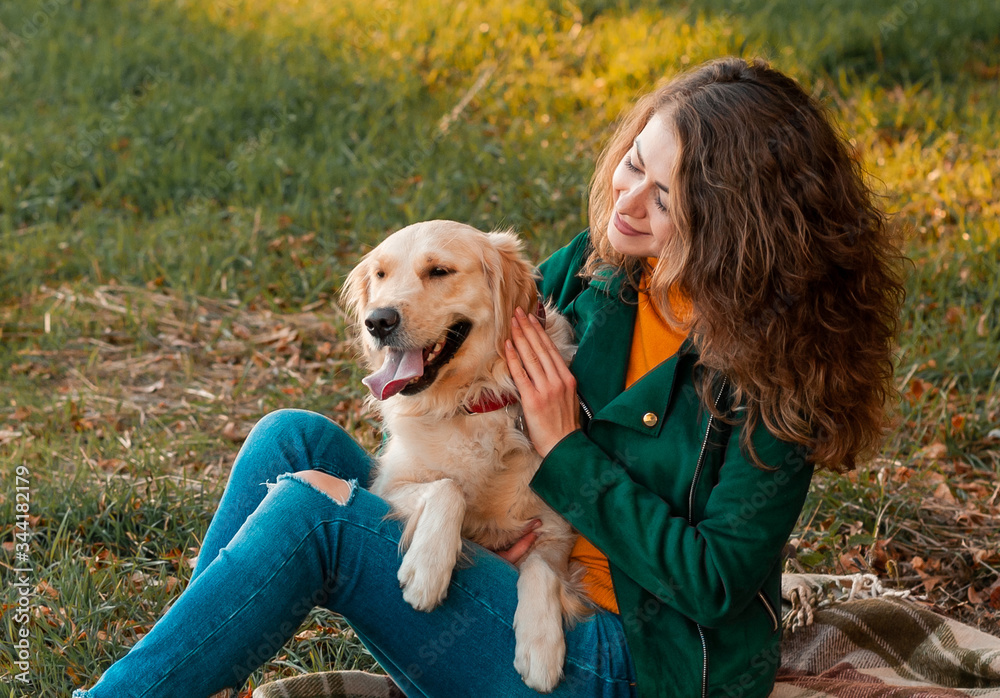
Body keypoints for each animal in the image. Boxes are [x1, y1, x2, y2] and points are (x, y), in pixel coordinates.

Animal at [344, 220, 588, 688]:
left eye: (439, 271)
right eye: (381, 275)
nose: (377, 321)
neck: (472, 403)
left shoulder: (555, 527)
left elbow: (543, 570)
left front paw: (541, 646)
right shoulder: (385, 486)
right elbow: (448, 488)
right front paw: (427, 568)